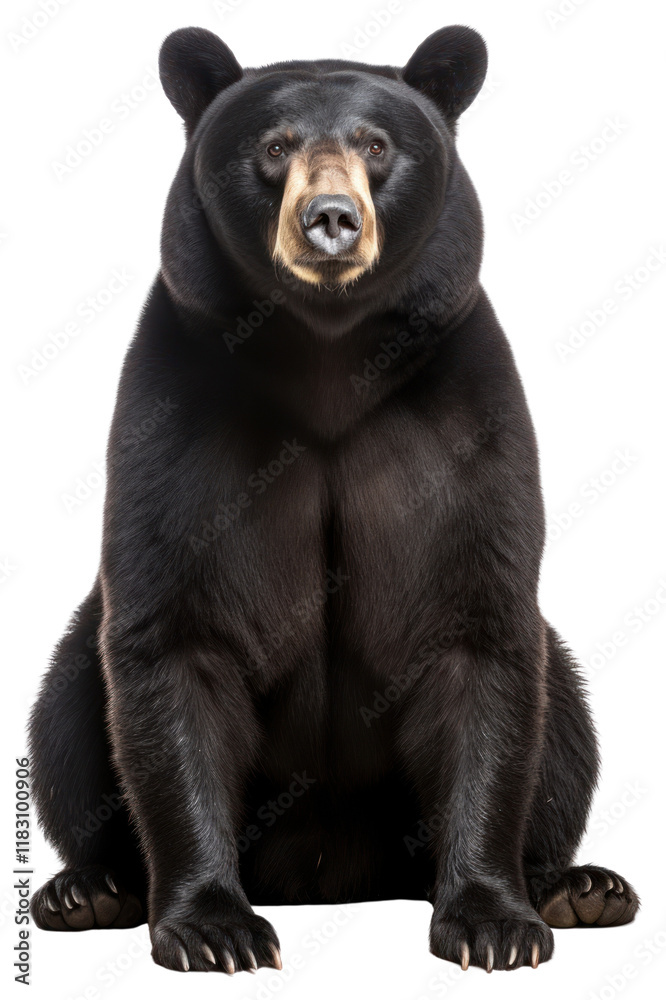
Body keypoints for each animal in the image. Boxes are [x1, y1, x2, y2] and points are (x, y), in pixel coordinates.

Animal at [29, 25, 639, 974]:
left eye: (376, 146)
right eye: (276, 147)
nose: (330, 218)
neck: (327, 358)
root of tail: (331, 872)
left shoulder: (463, 429)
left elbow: (482, 638)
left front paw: (494, 921)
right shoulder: (180, 424)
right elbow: (174, 640)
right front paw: (214, 928)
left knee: (566, 717)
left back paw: (578, 886)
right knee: (61, 708)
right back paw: (88, 889)